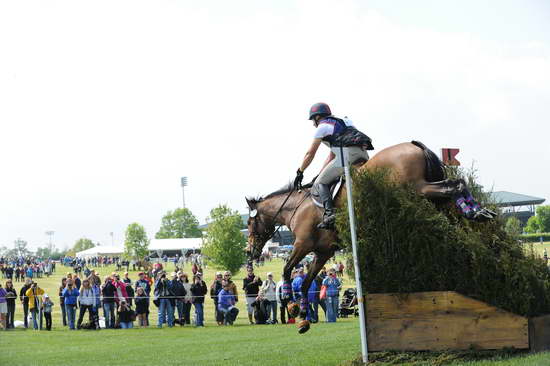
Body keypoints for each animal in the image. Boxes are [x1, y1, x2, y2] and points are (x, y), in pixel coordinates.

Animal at [246, 141, 496, 334]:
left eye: (249, 223)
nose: (251, 252)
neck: (297, 207)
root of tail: (415, 145)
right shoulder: (322, 252)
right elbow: (307, 283)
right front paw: (303, 318)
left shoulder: (302, 244)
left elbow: (287, 270)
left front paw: (291, 305)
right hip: (429, 195)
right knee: (456, 187)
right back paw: (478, 212)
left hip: (417, 187)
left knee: (453, 185)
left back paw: (474, 211)